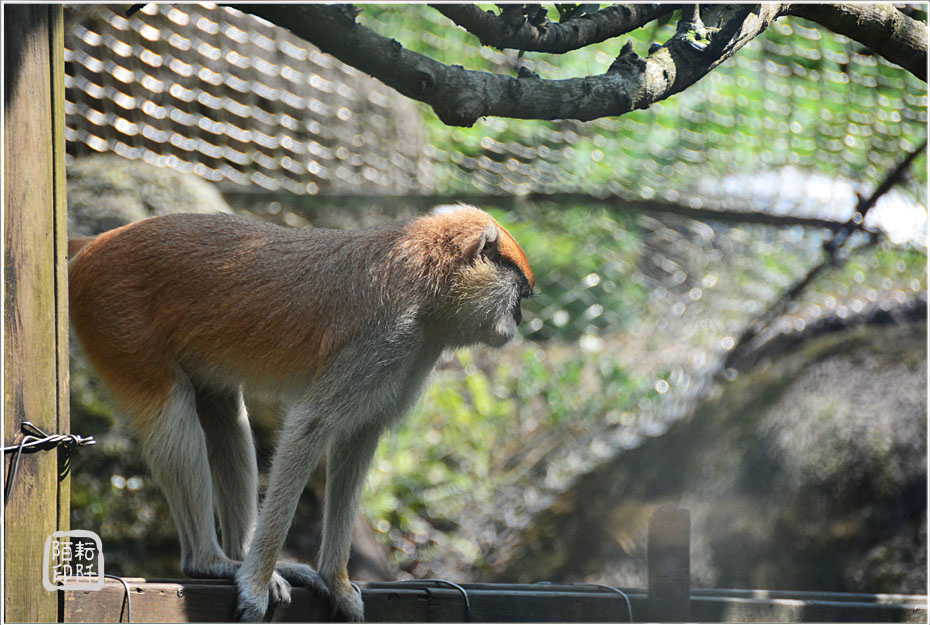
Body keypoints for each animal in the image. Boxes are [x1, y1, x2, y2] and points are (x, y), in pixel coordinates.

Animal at [69, 204, 532, 620]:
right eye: (521, 294)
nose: (520, 320)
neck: (429, 283)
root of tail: (96, 245)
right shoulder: (386, 339)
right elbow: (310, 426)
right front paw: (255, 582)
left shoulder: (412, 354)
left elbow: (358, 439)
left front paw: (337, 582)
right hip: (118, 323)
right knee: (171, 414)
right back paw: (211, 562)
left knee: (223, 411)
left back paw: (239, 553)